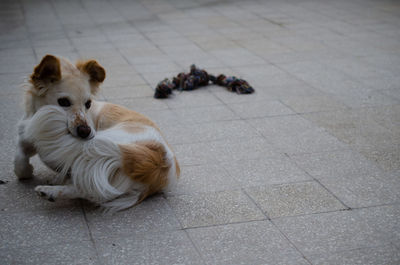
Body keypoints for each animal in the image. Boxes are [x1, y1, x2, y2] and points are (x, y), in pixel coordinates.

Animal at [13, 54, 180, 211]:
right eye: (64, 102)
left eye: (88, 103)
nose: (86, 132)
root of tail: (157, 159)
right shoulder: (26, 139)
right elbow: (19, 158)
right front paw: (26, 171)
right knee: (88, 190)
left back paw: (50, 190)